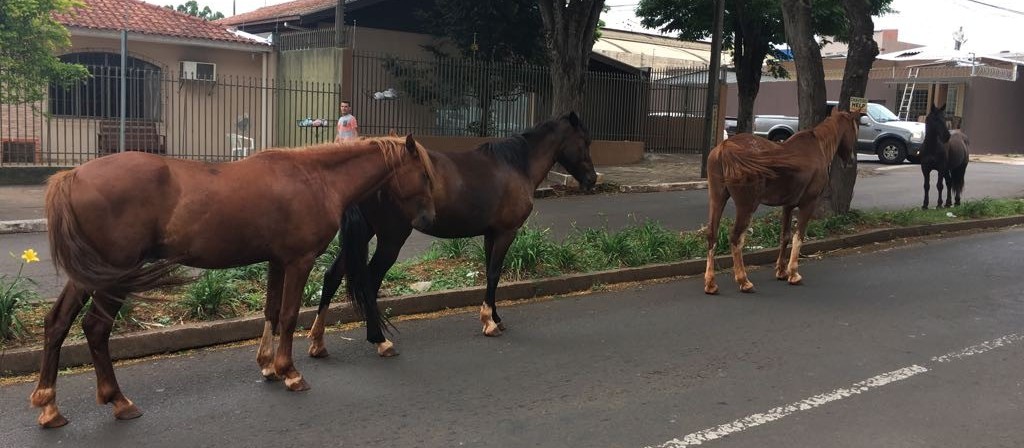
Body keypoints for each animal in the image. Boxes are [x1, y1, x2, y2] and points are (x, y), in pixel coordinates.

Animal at [29, 136, 438, 427]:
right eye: (424, 174)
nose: (429, 217)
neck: (314, 178)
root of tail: (73, 176)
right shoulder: (299, 261)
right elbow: (289, 315)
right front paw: (290, 372)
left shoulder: (277, 261)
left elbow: (271, 311)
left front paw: (268, 365)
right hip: (114, 275)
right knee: (95, 328)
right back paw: (118, 400)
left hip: (90, 275)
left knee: (58, 322)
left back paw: (49, 405)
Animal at [303, 112, 598, 357]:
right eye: (585, 141)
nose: (592, 179)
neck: (515, 165)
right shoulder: (506, 233)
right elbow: (494, 273)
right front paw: (489, 322)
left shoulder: (491, 234)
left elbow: (491, 274)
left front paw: (495, 317)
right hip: (391, 239)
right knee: (370, 282)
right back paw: (379, 340)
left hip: (364, 234)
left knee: (332, 276)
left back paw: (318, 342)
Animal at [704, 109, 856, 294]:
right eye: (854, 129)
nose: (851, 160)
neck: (818, 147)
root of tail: (725, 147)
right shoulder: (808, 203)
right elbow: (799, 236)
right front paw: (793, 273)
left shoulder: (788, 205)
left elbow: (785, 236)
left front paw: (782, 271)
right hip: (746, 206)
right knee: (736, 238)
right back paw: (743, 280)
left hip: (717, 198)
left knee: (712, 234)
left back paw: (711, 283)